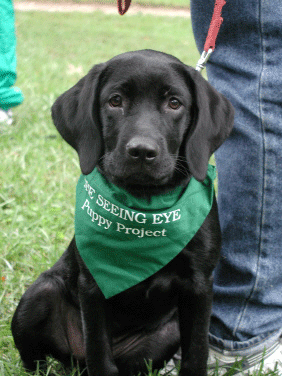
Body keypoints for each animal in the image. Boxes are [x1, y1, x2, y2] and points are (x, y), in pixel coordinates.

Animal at [11, 50, 234, 376]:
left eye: (174, 103)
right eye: (115, 101)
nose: (142, 151)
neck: (144, 210)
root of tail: (76, 364)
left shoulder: (200, 285)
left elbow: (197, 352)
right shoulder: (93, 287)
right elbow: (100, 353)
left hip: (166, 334)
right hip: (40, 294)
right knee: (37, 359)